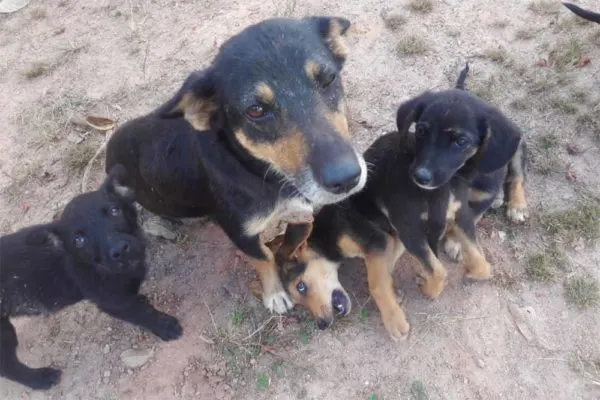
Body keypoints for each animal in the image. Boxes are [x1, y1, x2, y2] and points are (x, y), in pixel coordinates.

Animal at [0, 165, 183, 390]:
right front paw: (165, 326)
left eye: (114, 211)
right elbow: (142, 313)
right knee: (7, 366)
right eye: (78, 240)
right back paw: (40, 379)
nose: (120, 250)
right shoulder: (112, 301)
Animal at [106, 16, 368, 316]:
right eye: (256, 110)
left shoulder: (303, 215)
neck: (267, 175)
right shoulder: (242, 234)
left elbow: (290, 245)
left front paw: (290, 262)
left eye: (328, 79)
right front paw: (275, 293)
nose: (346, 178)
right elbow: (264, 260)